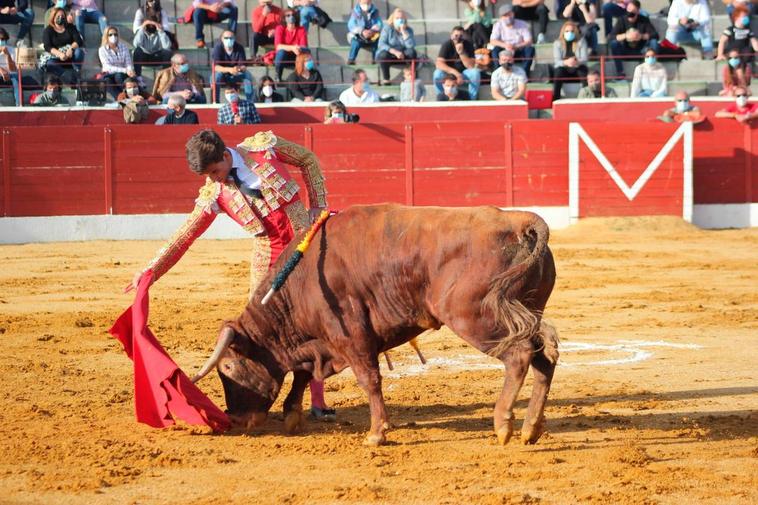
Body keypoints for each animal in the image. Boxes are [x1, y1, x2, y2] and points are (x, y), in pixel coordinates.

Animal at [193, 204, 560, 444]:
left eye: (228, 367)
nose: (235, 419)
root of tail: (518, 222)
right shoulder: (320, 343)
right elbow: (302, 375)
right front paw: (293, 415)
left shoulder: (350, 336)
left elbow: (368, 380)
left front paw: (376, 434)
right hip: (527, 311)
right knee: (544, 358)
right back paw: (530, 429)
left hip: (474, 317)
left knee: (519, 356)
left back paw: (503, 425)